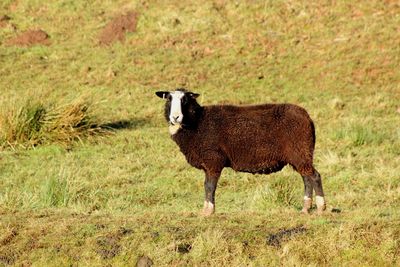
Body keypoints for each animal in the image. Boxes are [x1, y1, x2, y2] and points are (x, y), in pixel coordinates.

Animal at [155, 89, 326, 217]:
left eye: (184, 100)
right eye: (169, 99)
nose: (175, 117)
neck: (197, 122)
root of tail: (307, 117)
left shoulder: (213, 160)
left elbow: (209, 186)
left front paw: (208, 211)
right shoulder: (208, 163)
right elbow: (206, 185)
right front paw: (205, 210)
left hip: (301, 151)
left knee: (314, 176)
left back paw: (320, 207)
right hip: (299, 155)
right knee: (306, 178)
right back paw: (305, 208)